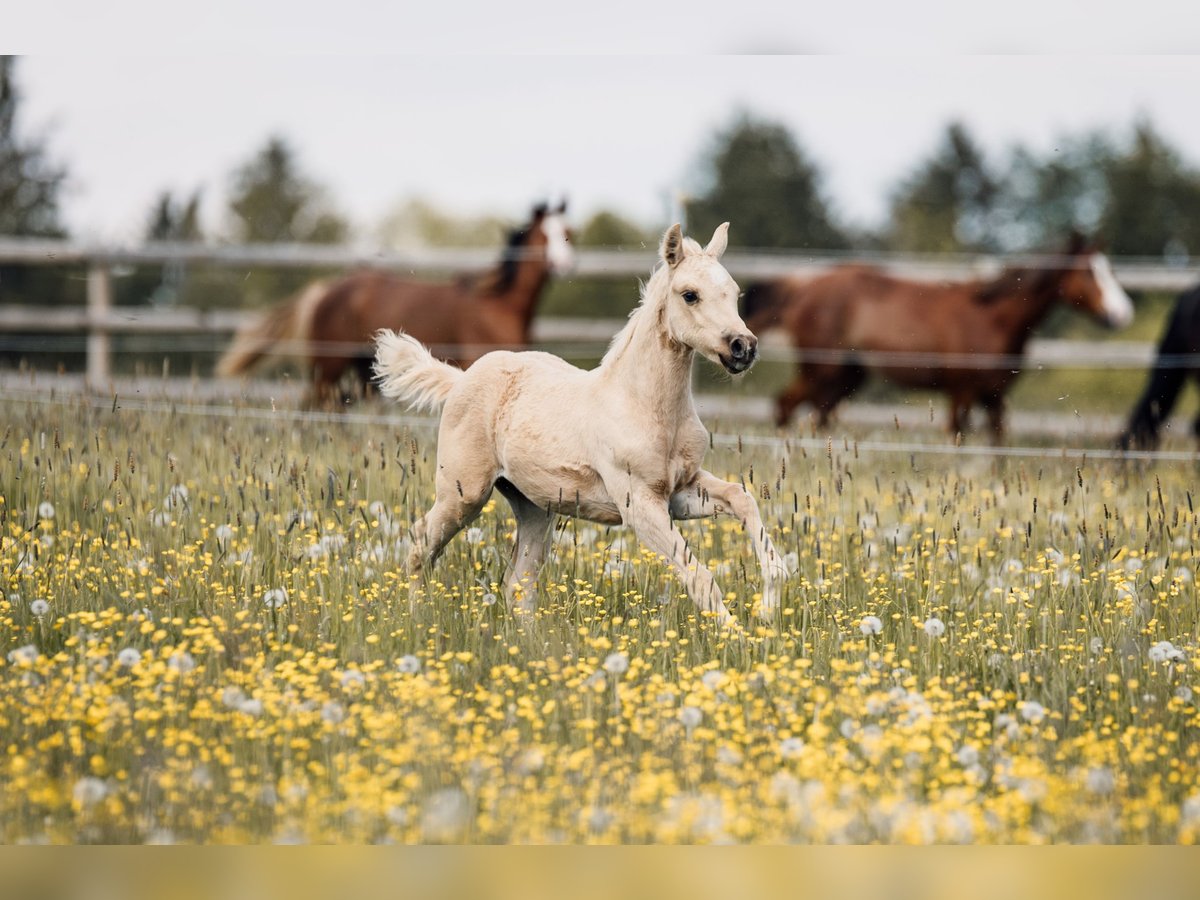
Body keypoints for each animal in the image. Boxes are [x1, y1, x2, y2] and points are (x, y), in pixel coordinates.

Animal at [218, 201, 573, 405]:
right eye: (544, 236)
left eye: (569, 232)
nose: (564, 264)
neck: (499, 303)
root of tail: (325, 289)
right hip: (328, 365)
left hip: (362, 369)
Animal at [373, 223, 788, 625]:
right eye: (690, 295)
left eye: (733, 292)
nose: (743, 347)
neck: (645, 406)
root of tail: (460, 380)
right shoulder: (639, 504)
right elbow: (700, 577)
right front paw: (738, 638)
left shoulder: (680, 491)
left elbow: (742, 498)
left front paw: (769, 604)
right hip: (463, 493)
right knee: (420, 546)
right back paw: (417, 621)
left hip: (533, 507)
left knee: (518, 585)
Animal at [742, 234, 1134, 441]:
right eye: (1088, 272)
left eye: (1111, 269)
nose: (1122, 313)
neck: (993, 318)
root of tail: (801, 288)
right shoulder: (962, 393)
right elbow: (957, 437)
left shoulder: (995, 397)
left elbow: (998, 446)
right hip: (820, 371)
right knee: (786, 406)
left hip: (843, 377)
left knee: (815, 415)